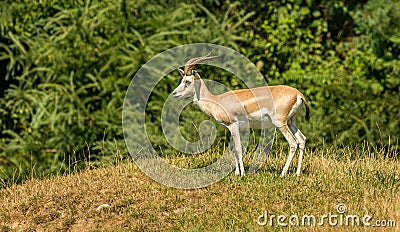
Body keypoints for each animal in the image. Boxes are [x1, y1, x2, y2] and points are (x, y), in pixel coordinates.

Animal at [172, 53, 310, 176]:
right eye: (181, 80)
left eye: (187, 81)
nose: (174, 93)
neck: (216, 101)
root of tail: (298, 94)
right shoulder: (231, 128)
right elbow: (233, 149)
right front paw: (237, 172)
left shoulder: (233, 124)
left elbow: (238, 148)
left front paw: (243, 173)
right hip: (291, 122)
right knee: (302, 139)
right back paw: (297, 173)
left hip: (280, 123)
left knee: (293, 143)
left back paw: (282, 173)